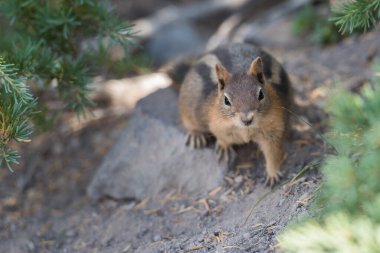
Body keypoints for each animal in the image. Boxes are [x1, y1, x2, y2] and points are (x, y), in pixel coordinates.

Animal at [178, 43, 290, 186]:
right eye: (226, 100)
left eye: (261, 94)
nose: (247, 119)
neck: (245, 129)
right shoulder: (217, 124)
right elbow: (221, 136)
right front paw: (224, 147)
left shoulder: (273, 129)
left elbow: (273, 152)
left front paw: (273, 173)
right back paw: (195, 135)